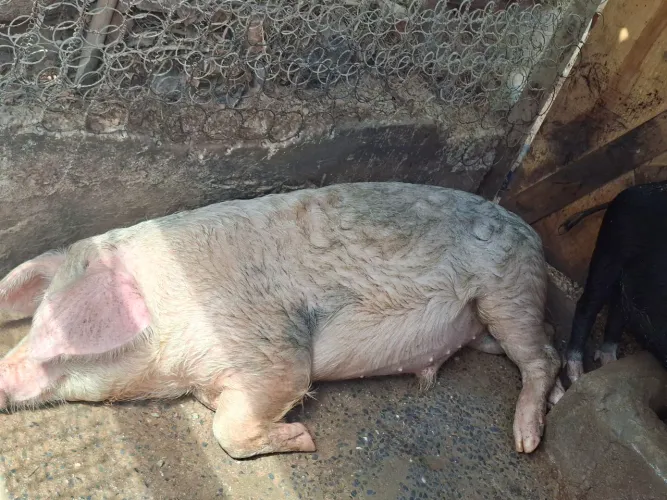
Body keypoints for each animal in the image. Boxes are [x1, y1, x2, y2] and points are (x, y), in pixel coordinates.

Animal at [0, 182, 563, 458]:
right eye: (37, 316)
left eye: (59, 339)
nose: (5, 371)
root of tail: (532, 233)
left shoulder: (275, 351)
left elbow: (231, 429)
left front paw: (303, 439)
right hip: (487, 324)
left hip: (508, 290)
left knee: (542, 356)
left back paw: (526, 442)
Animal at [563, 180, 667, 383]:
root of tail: (625, 193)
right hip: (607, 254)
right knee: (586, 306)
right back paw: (577, 375)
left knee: (618, 310)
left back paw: (610, 362)